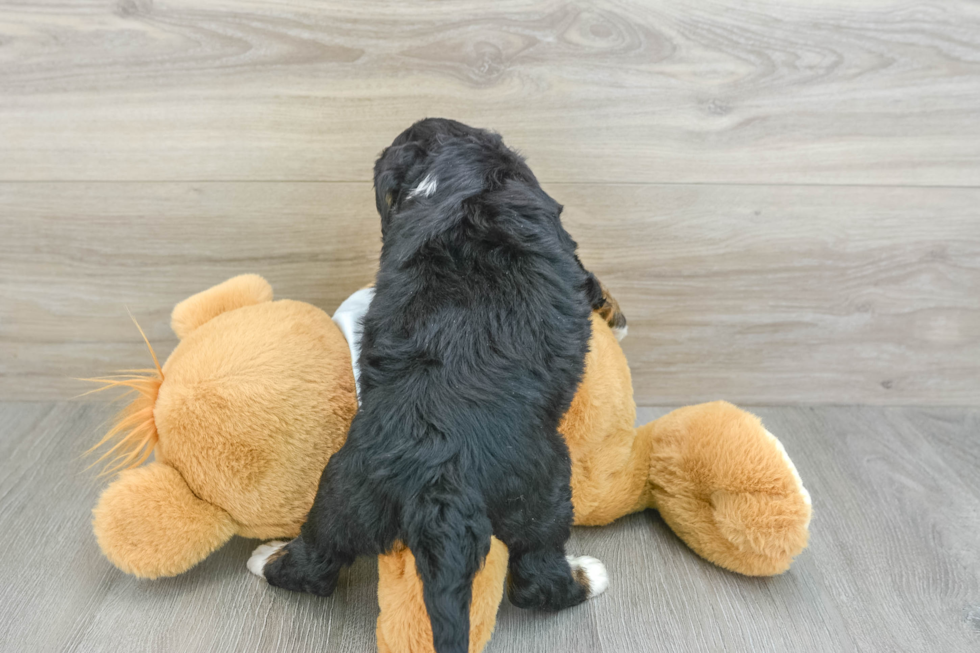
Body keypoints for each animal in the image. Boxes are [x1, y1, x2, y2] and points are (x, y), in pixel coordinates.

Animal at [253, 118, 616, 652]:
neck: (461, 175)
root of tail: (439, 476)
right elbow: (593, 283)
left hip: (342, 493)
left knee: (316, 563)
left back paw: (269, 558)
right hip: (544, 489)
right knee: (536, 577)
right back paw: (587, 577)